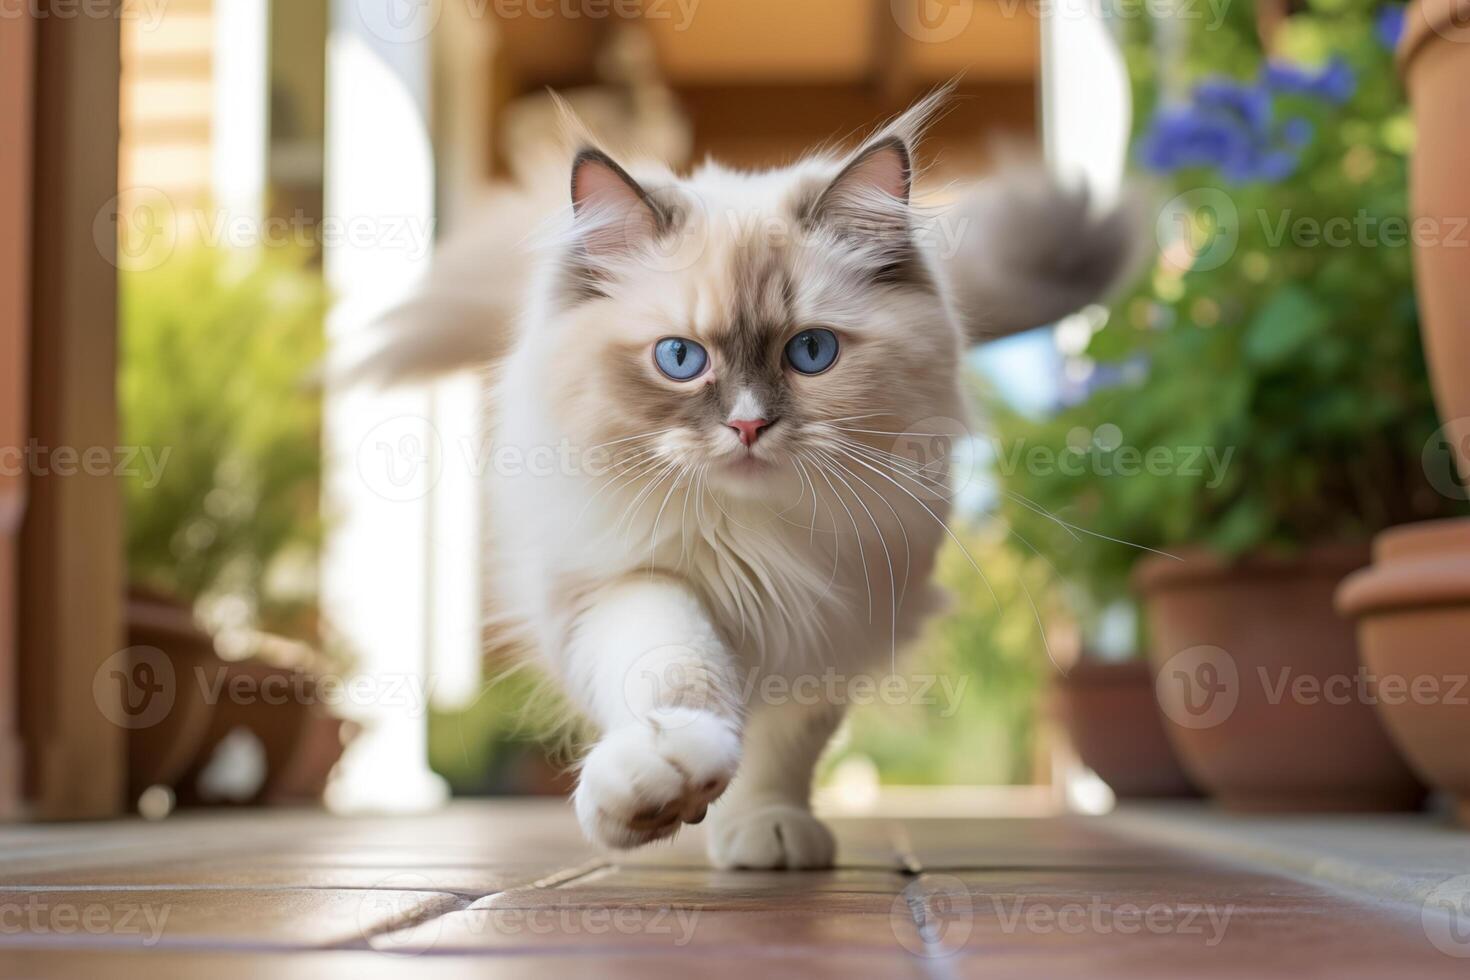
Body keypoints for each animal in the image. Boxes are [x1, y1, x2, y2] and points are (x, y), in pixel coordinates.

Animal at [352, 95, 1134, 869]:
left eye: (811, 352)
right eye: (679, 358)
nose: (749, 425)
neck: (752, 534)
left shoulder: (830, 628)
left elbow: (782, 753)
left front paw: (765, 831)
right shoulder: (628, 585)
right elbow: (676, 669)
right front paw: (661, 782)